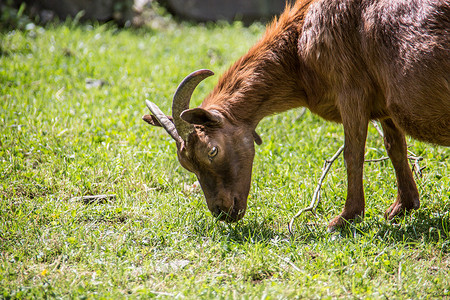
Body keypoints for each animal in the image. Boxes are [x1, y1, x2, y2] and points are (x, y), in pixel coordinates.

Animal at [144, 0, 450, 231]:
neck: (298, 48)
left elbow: (353, 154)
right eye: (186, 164)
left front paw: (344, 218)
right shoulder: (383, 105)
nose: (223, 211)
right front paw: (402, 207)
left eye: (212, 151)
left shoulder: (351, 90)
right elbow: (395, 147)